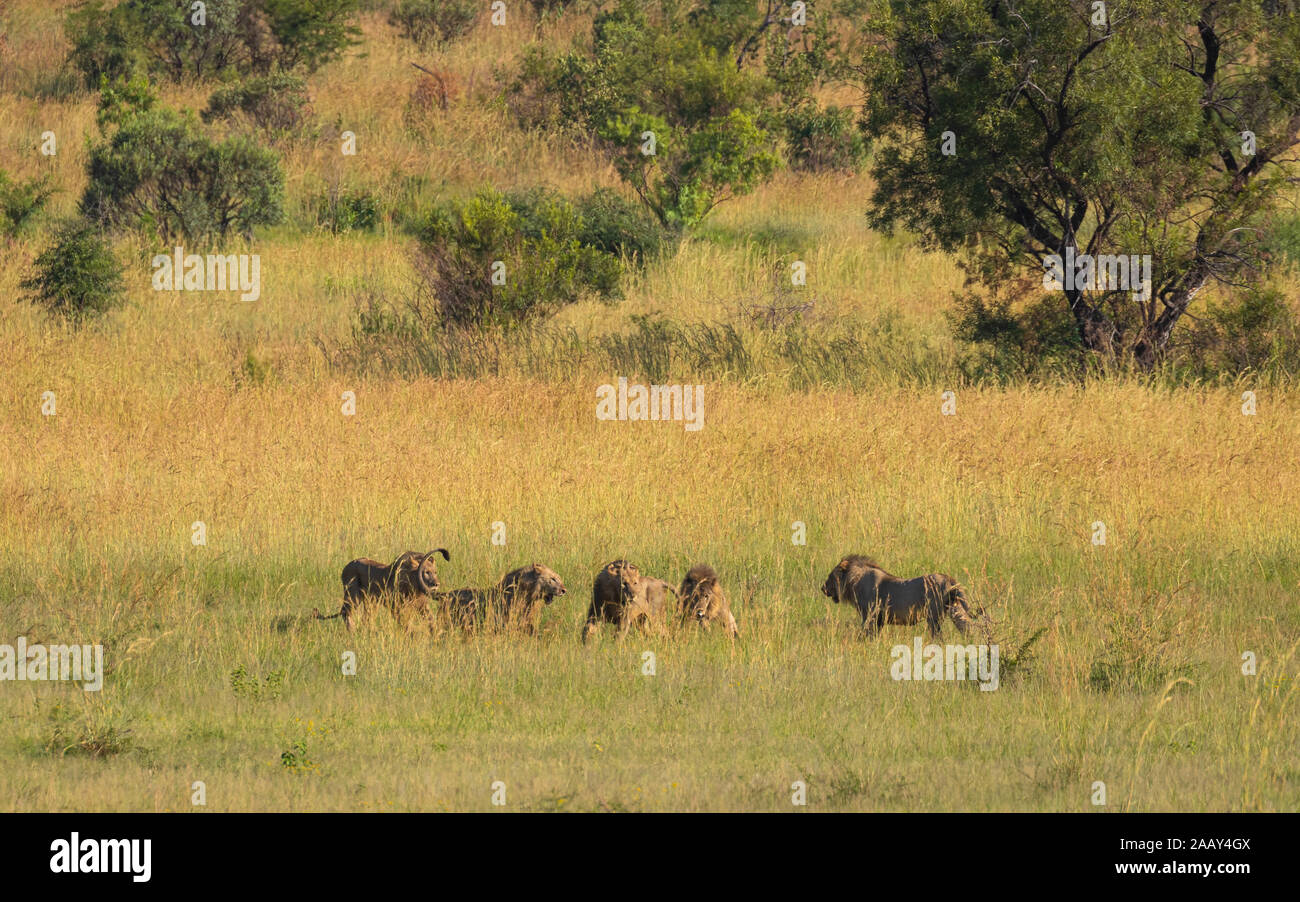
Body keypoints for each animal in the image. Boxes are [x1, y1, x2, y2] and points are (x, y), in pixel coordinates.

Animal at [315, 548, 450, 631]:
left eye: (435, 572)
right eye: (426, 572)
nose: (436, 584)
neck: (414, 586)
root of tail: (347, 565)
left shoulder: (422, 605)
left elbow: (430, 619)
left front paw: (436, 633)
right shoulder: (394, 606)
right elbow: (403, 621)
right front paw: (410, 633)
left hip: (371, 602)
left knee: (366, 618)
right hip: (353, 596)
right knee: (346, 613)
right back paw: (352, 630)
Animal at [820, 555, 980, 637]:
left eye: (830, 576)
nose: (822, 588)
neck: (854, 581)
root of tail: (949, 579)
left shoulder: (869, 617)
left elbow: (864, 635)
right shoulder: (879, 620)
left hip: (933, 617)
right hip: (956, 610)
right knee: (968, 629)